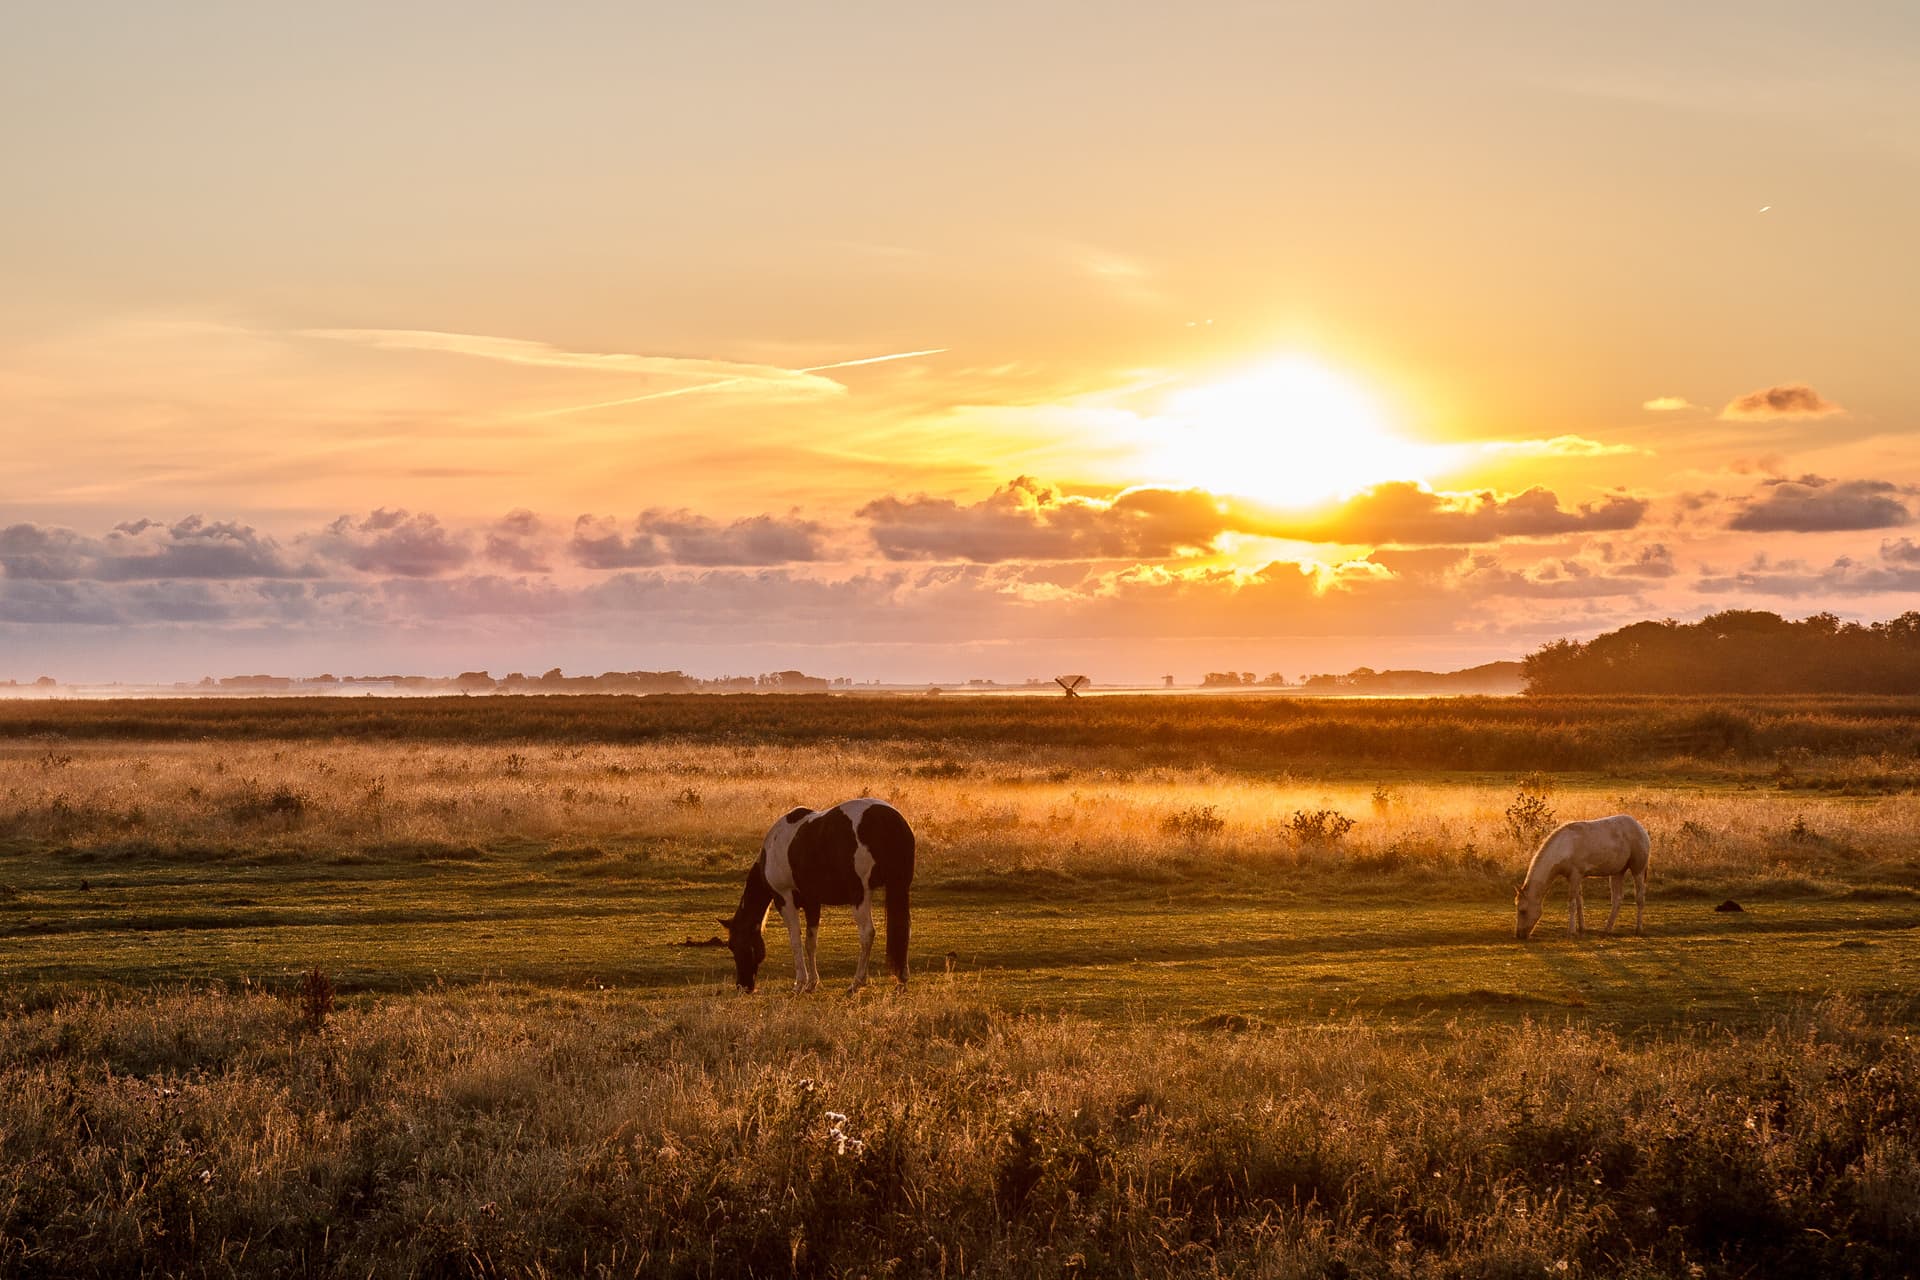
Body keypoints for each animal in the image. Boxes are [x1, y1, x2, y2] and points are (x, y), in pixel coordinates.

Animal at [721, 794, 913, 997]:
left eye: (736, 946)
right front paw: (812, 983)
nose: (742, 986)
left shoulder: (784, 899)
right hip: (899, 888)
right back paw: (901, 980)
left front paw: (799, 983)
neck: (772, 847)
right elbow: (810, 942)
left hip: (860, 895)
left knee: (867, 933)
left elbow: (795, 941)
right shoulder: (812, 903)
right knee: (904, 930)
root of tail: (887, 817)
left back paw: (856, 983)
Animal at [1512, 821, 1651, 940]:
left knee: (1640, 898)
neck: (1565, 846)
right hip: (1617, 872)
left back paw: (1638, 929)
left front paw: (1571, 931)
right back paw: (1607, 929)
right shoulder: (1575, 878)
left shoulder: (1575, 876)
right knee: (1617, 899)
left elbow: (1572, 904)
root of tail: (1640, 828)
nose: (1519, 935)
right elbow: (1579, 903)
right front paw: (1581, 928)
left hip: (1638, 870)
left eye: (1522, 911)